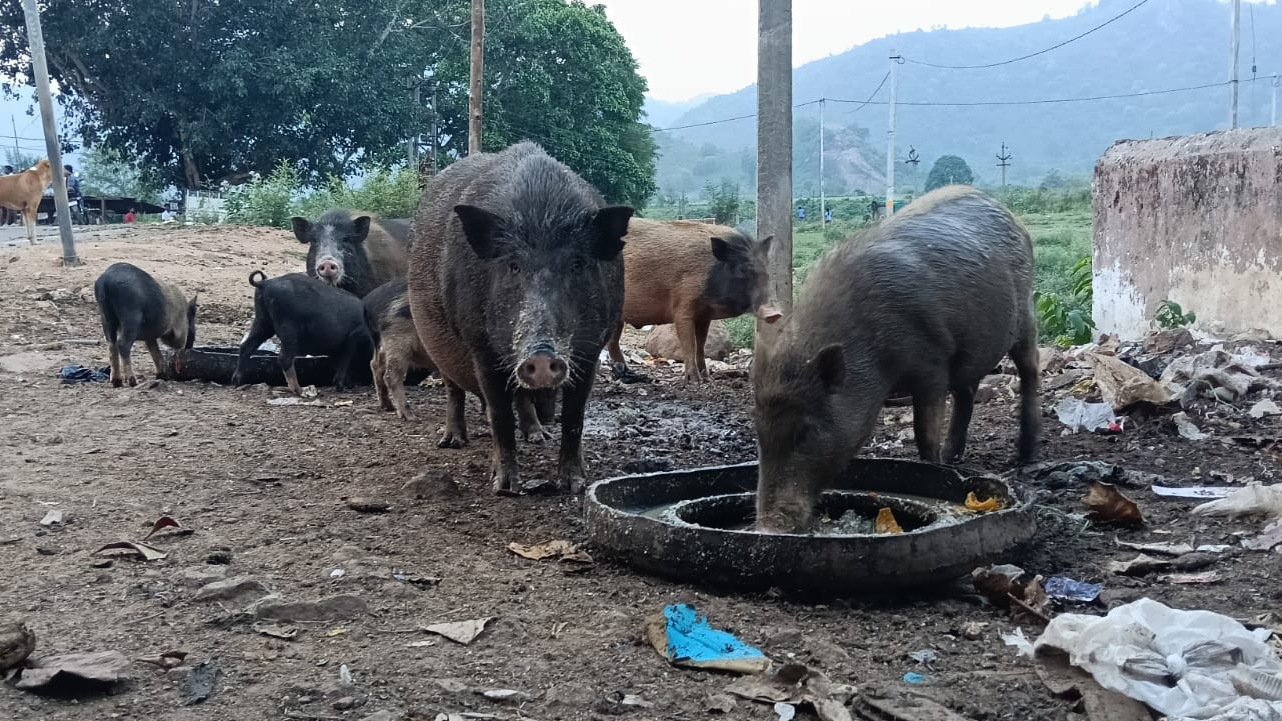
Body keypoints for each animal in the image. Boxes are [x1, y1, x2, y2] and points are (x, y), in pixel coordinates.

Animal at [232, 271, 373, 395]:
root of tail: (265, 283)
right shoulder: (354, 336)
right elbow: (345, 360)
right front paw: (341, 387)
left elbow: (337, 363)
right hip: (288, 327)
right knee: (284, 358)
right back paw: (300, 391)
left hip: (262, 321)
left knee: (246, 347)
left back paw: (236, 382)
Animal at [407, 141, 632, 494]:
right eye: (513, 265)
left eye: (577, 264)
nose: (541, 356)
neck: (543, 214)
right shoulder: (481, 347)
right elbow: (499, 415)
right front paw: (505, 488)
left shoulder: (590, 349)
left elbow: (574, 417)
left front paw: (574, 485)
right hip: (437, 344)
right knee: (454, 389)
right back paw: (452, 441)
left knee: (522, 399)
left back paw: (538, 436)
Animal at [605, 218, 780, 383]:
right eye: (742, 269)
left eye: (767, 269)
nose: (775, 313)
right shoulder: (683, 308)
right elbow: (690, 344)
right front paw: (695, 381)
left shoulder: (704, 316)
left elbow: (701, 344)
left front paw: (707, 378)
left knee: (612, 342)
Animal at [751, 185, 1040, 533]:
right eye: (758, 432)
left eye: (805, 432)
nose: (767, 527)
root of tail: (1012, 217)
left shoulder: (933, 363)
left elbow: (923, 433)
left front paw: (934, 466)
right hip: (971, 354)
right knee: (967, 393)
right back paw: (953, 457)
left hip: (1025, 315)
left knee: (1030, 370)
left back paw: (1025, 456)